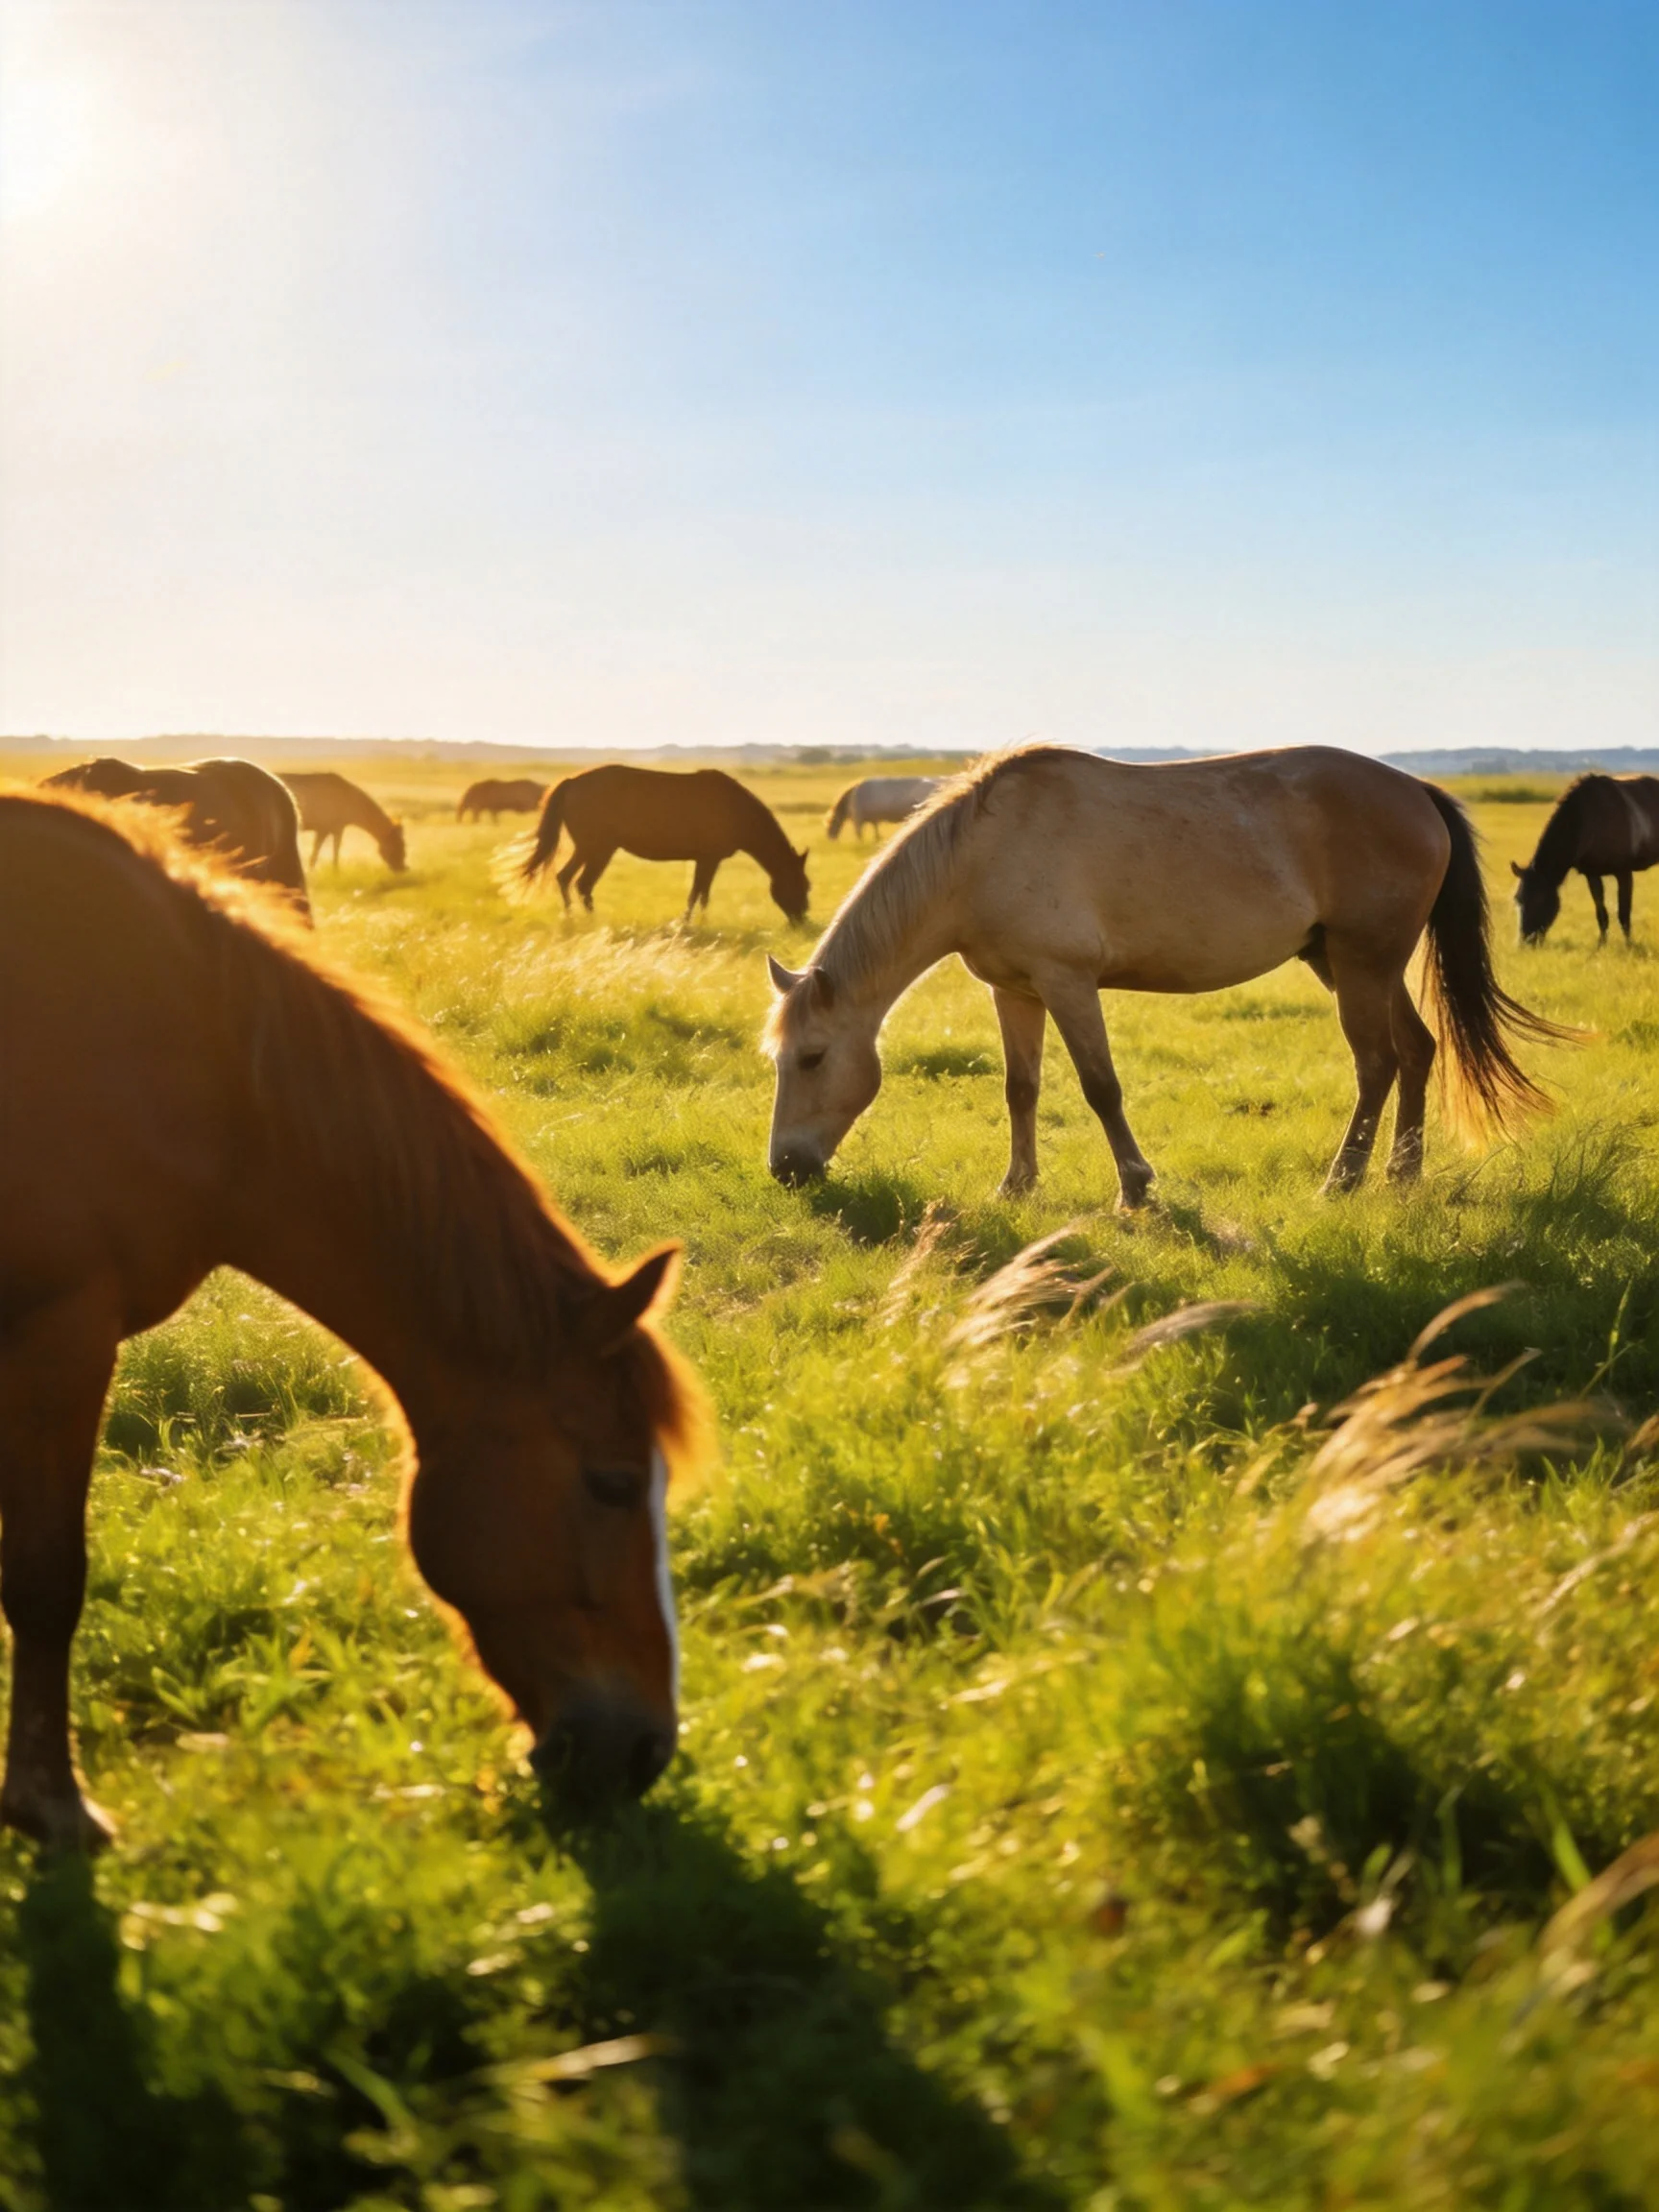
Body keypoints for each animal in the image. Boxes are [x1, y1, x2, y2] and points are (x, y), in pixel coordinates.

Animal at [282, 770, 408, 872]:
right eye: (400, 844)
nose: (402, 869)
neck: (349, 800)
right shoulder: (330, 829)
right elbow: (328, 852)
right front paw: (334, 872)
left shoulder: (328, 829)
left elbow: (319, 853)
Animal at [519, 765, 811, 924]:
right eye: (801, 885)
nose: (802, 920)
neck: (735, 810)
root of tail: (571, 783)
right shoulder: (708, 859)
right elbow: (698, 893)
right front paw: (691, 924)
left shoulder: (706, 860)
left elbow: (701, 893)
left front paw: (695, 922)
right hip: (598, 849)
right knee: (582, 884)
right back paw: (591, 922)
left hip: (588, 849)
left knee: (565, 878)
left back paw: (572, 919)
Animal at [765, 746, 1568, 1208]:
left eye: (812, 1057)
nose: (785, 1169)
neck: (981, 853)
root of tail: (1418, 792)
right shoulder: (1014, 990)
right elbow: (1021, 1089)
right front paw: (1016, 1186)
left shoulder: (1067, 982)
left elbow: (1100, 1087)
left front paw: (1135, 1188)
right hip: (1348, 963)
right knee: (1417, 1050)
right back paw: (1402, 1174)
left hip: (1364, 963)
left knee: (1376, 1062)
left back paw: (1342, 1181)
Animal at [1510, 774, 1659, 944]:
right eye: (1518, 899)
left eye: (1540, 899)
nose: (1525, 942)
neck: (1588, 820)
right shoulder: (1592, 875)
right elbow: (1601, 914)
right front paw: (1602, 944)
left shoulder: (1624, 872)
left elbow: (1624, 914)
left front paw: (1629, 945)